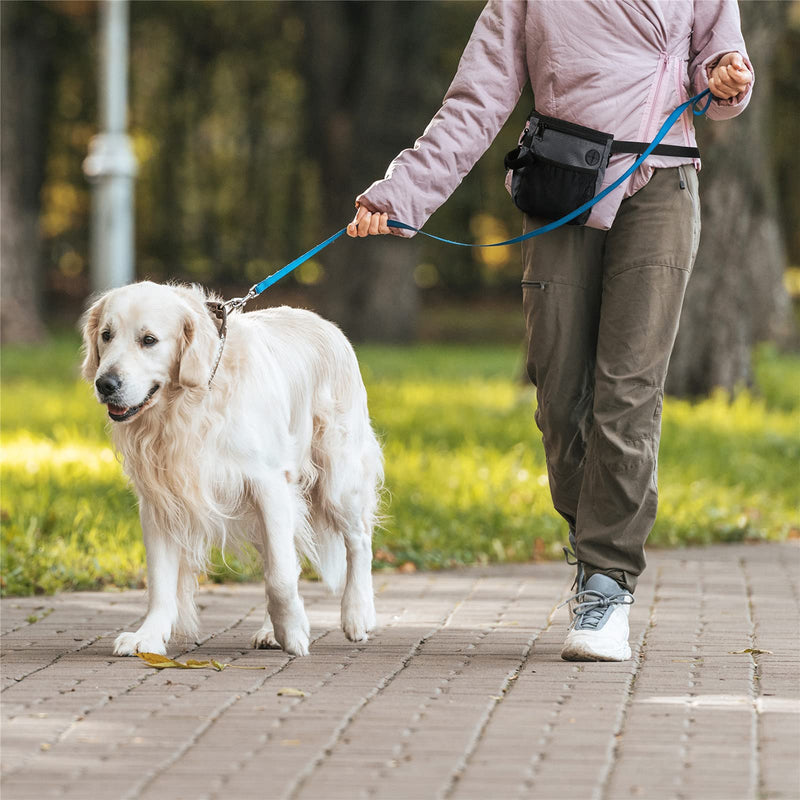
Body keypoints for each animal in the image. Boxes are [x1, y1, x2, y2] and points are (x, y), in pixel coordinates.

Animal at [81, 282, 384, 656]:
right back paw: (271, 630)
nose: (105, 384)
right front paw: (148, 636)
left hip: (338, 478)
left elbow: (280, 577)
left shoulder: (269, 484)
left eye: (148, 340)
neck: (188, 404)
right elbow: (160, 581)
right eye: (106, 335)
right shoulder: (159, 500)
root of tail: (328, 325)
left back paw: (357, 613)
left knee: (359, 540)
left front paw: (294, 632)